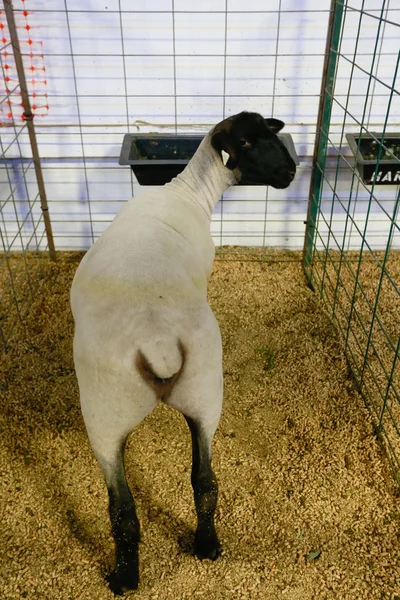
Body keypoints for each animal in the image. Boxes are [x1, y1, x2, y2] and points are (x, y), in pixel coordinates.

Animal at [71, 110, 296, 592]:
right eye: (247, 141)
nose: (291, 172)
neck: (187, 194)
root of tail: (157, 340)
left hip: (106, 412)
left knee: (123, 509)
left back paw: (125, 577)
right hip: (203, 392)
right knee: (205, 482)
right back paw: (206, 547)